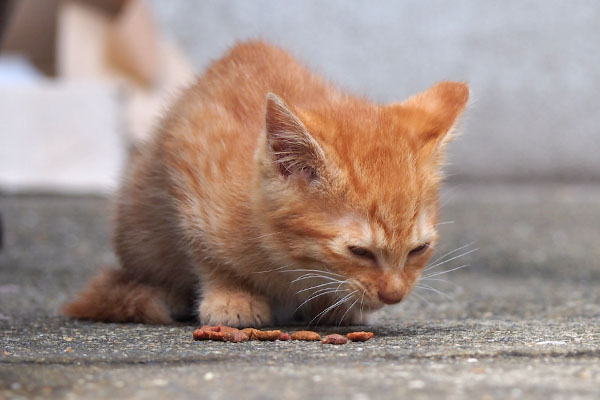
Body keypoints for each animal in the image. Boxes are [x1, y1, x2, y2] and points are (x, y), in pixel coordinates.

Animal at [64, 39, 468, 328]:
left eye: (418, 249)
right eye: (360, 252)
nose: (394, 295)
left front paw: (332, 304)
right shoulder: (189, 163)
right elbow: (207, 253)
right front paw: (232, 295)